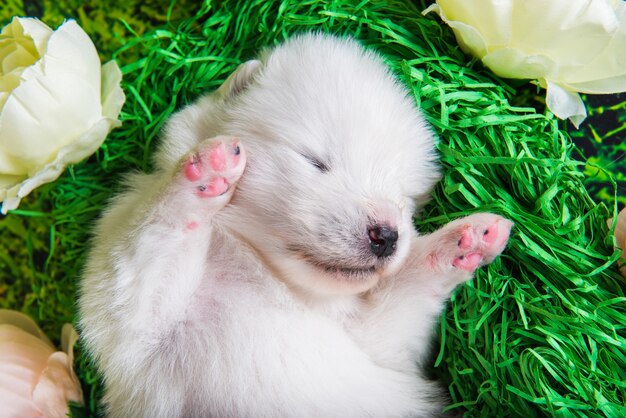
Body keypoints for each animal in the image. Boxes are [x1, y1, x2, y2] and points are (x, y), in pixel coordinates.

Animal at [78, 34, 510, 416]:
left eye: (405, 197)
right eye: (315, 161)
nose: (387, 235)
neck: (266, 272)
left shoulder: (373, 347)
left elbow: (399, 308)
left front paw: (464, 240)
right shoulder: (132, 326)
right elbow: (153, 237)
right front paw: (208, 168)